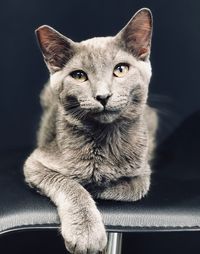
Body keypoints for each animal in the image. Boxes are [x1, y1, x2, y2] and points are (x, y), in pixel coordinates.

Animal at [23, 7, 158, 254]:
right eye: (79, 75)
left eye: (120, 69)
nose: (103, 96)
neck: (104, 139)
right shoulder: (35, 162)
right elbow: (69, 184)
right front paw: (85, 233)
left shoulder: (143, 171)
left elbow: (134, 187)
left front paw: (97, 185)